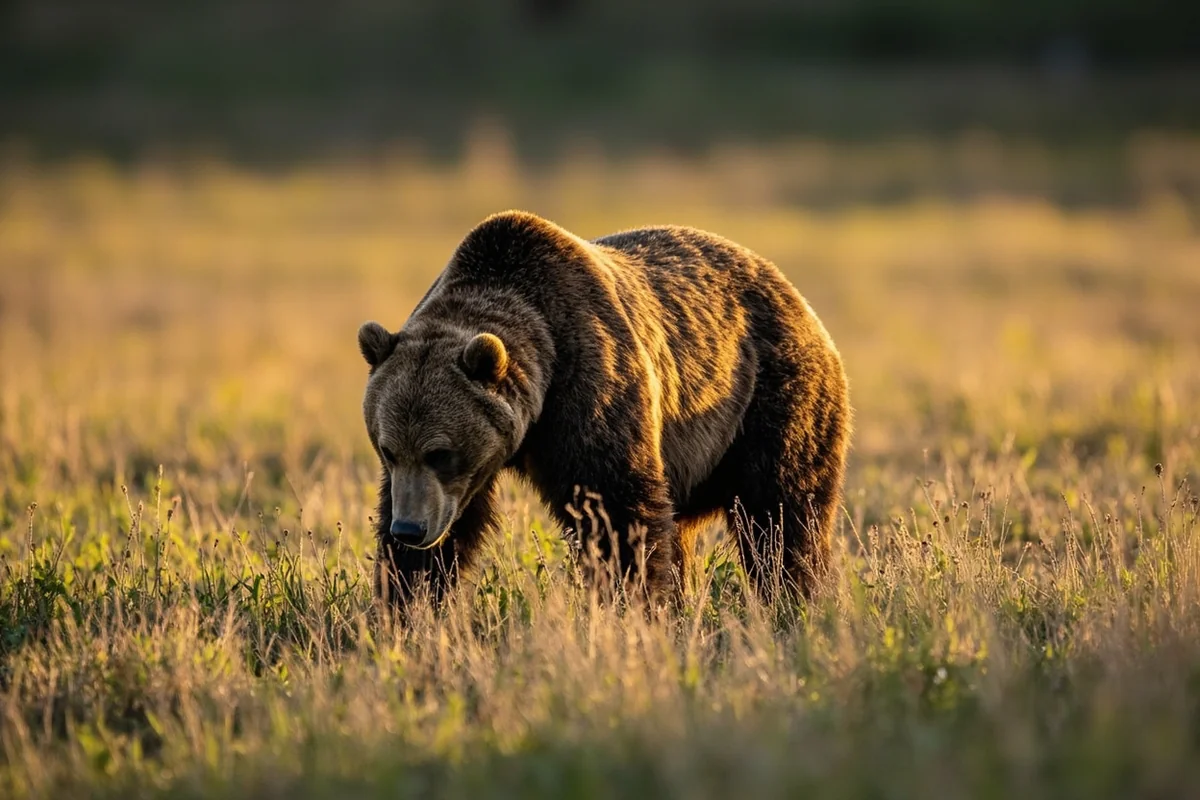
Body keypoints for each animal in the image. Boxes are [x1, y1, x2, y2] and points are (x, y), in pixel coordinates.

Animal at [358, 210, 850, 610]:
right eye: (389, 450)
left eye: (440, 453)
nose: (409, 529)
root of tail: (792, 291)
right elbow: (443, 541)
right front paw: (406, 603)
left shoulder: (591, 391)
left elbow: (616, 511)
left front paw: (631, 603)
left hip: (770, 397)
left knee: (781, 513)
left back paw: (793, 597)